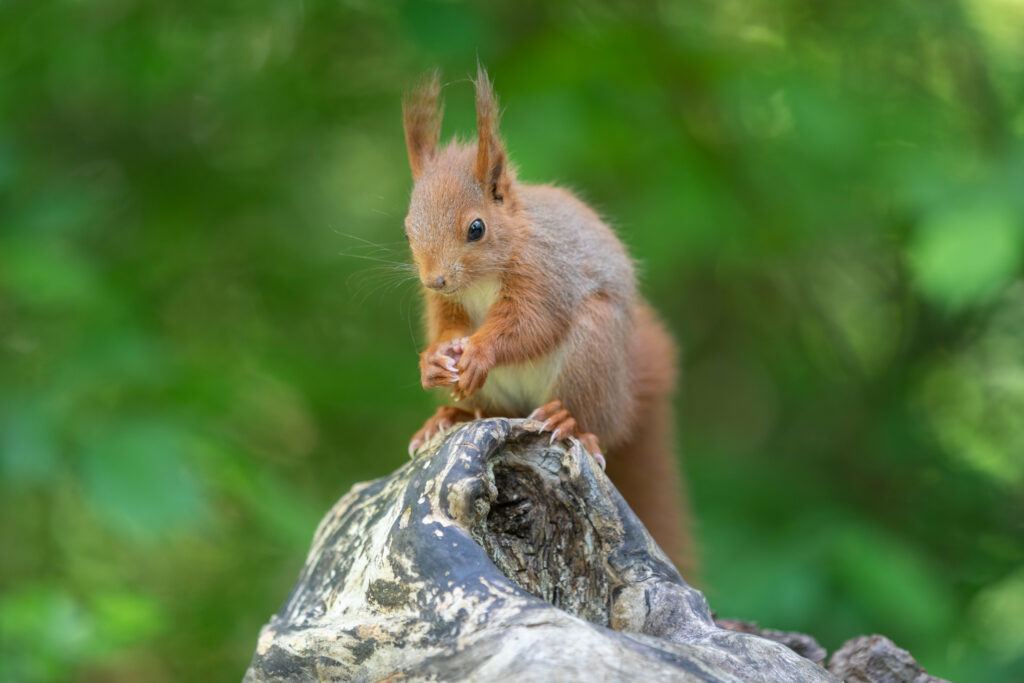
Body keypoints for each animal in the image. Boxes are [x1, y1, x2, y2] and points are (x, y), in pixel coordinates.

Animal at [400, 67, 694, 572]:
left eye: (476, 228)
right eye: (408, 228)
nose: (435, 279)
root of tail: (623, 397)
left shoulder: (546, 274)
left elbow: (531, 324)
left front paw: (480, 352)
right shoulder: (447, 305)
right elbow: (447, 329)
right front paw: (434, 360)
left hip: (593, 350)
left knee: (594, 422)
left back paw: (566, 418)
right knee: (488, 411)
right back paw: (449, 415)